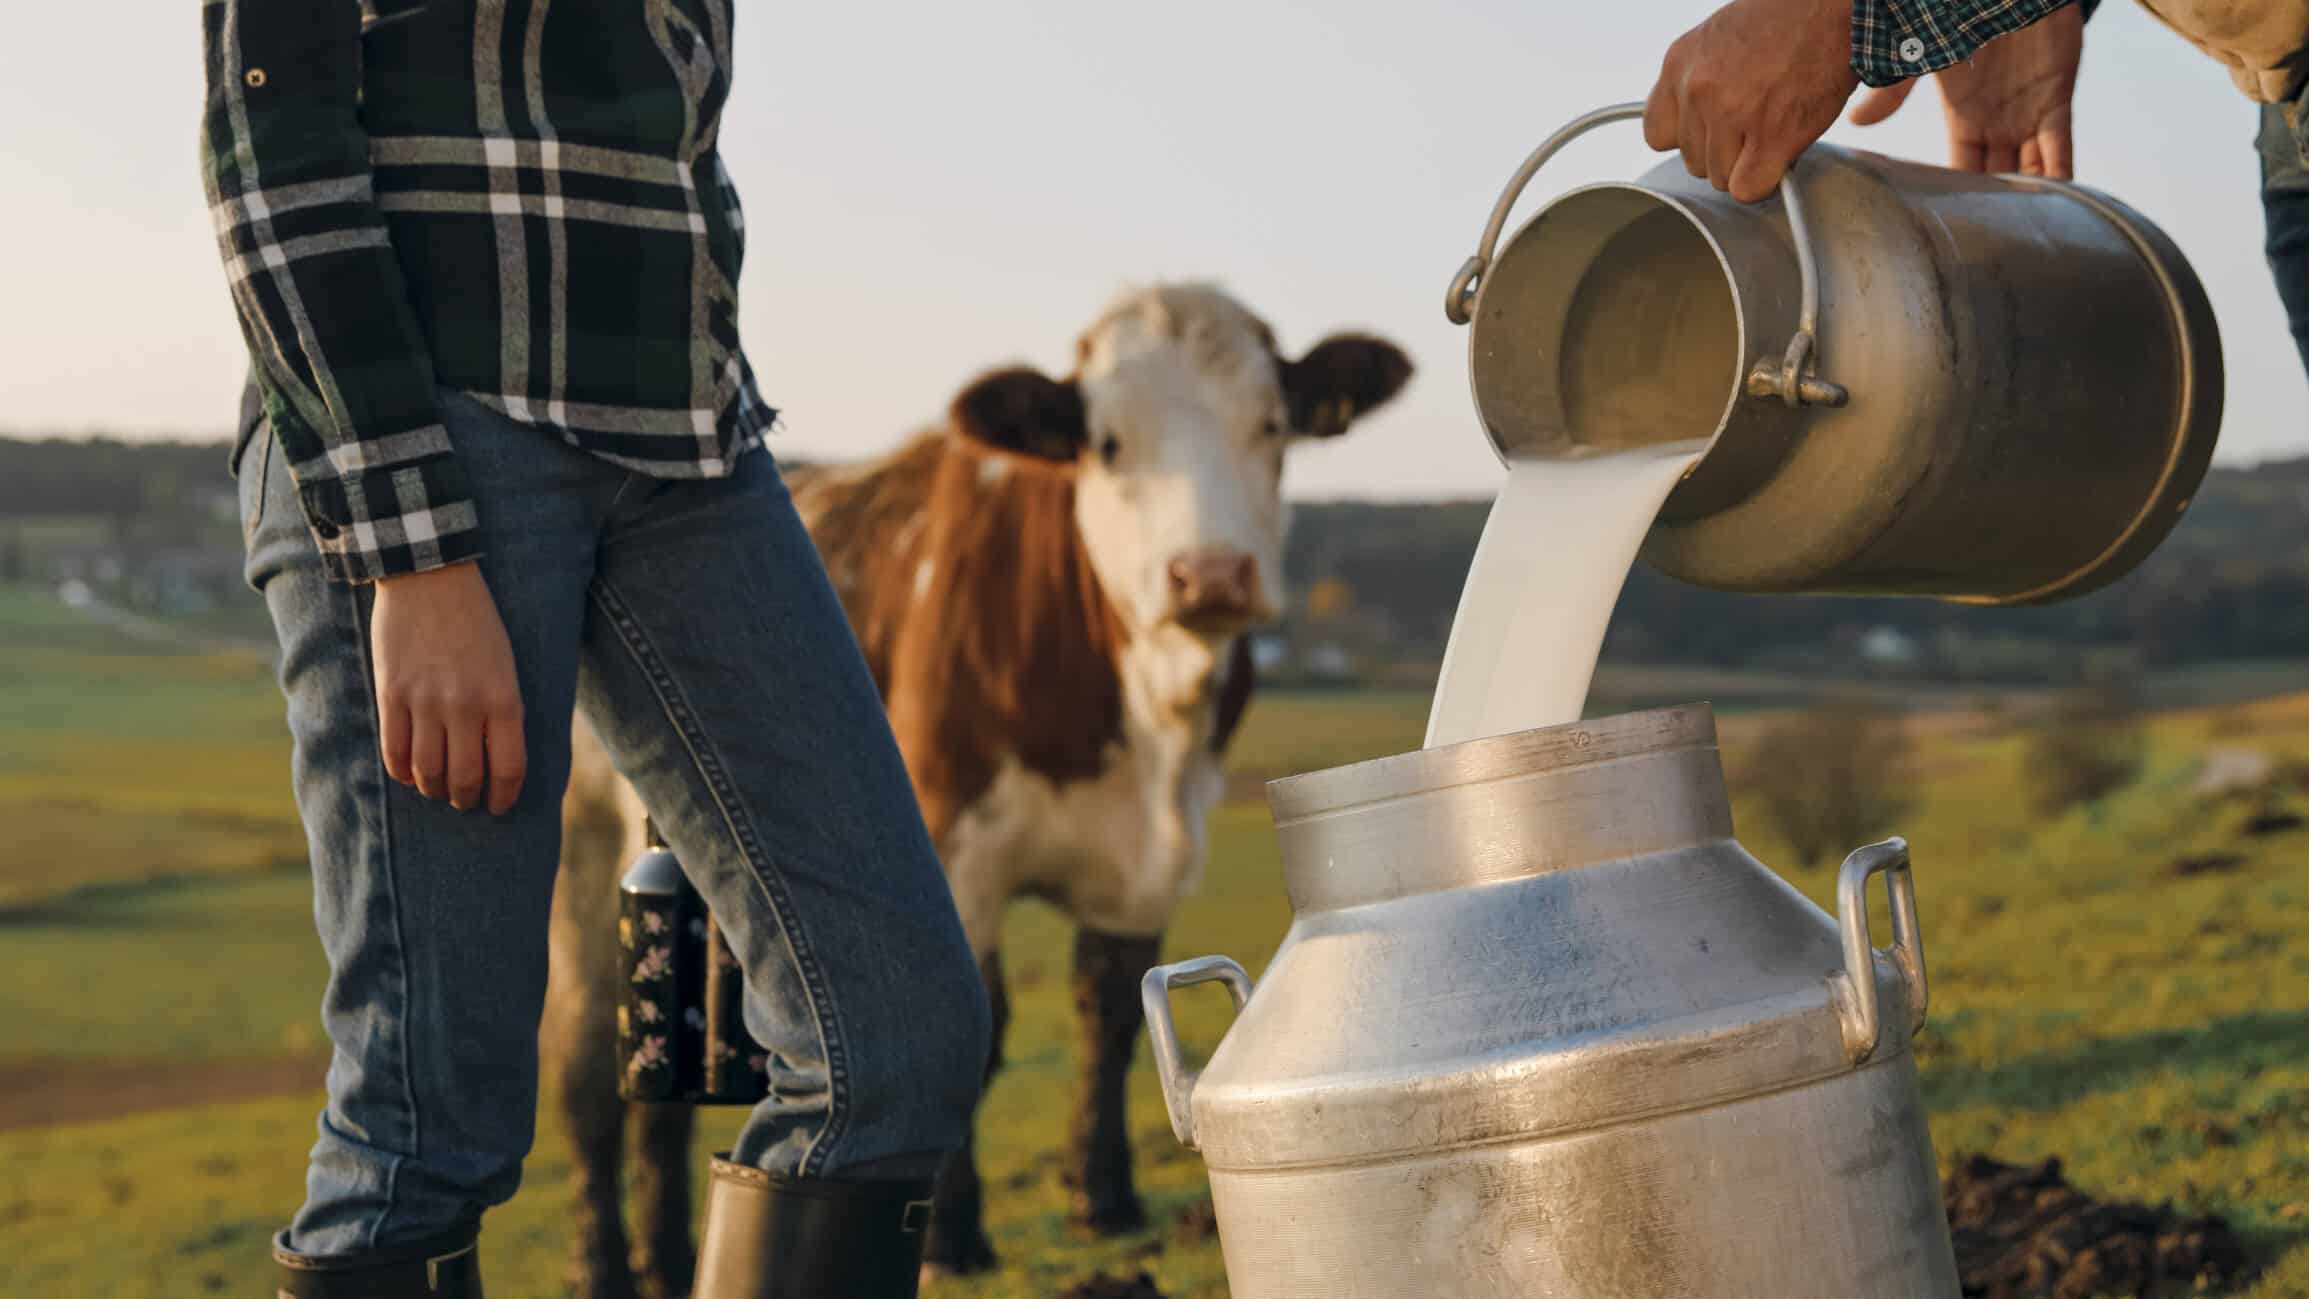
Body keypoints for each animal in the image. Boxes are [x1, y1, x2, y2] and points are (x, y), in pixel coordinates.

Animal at [542, 283, 1411, 1297]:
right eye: (1105, 442)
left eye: (1272, 425)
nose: (1211, 573)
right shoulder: (956, 849)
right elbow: (985, 1031)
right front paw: (953, 1238)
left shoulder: (1148, 863)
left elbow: (1114, 1013)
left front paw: (1102, 1199)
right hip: (578, 844)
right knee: (584, 1072)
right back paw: (604, 1262)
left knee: (657, 1101)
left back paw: (669, 1254)